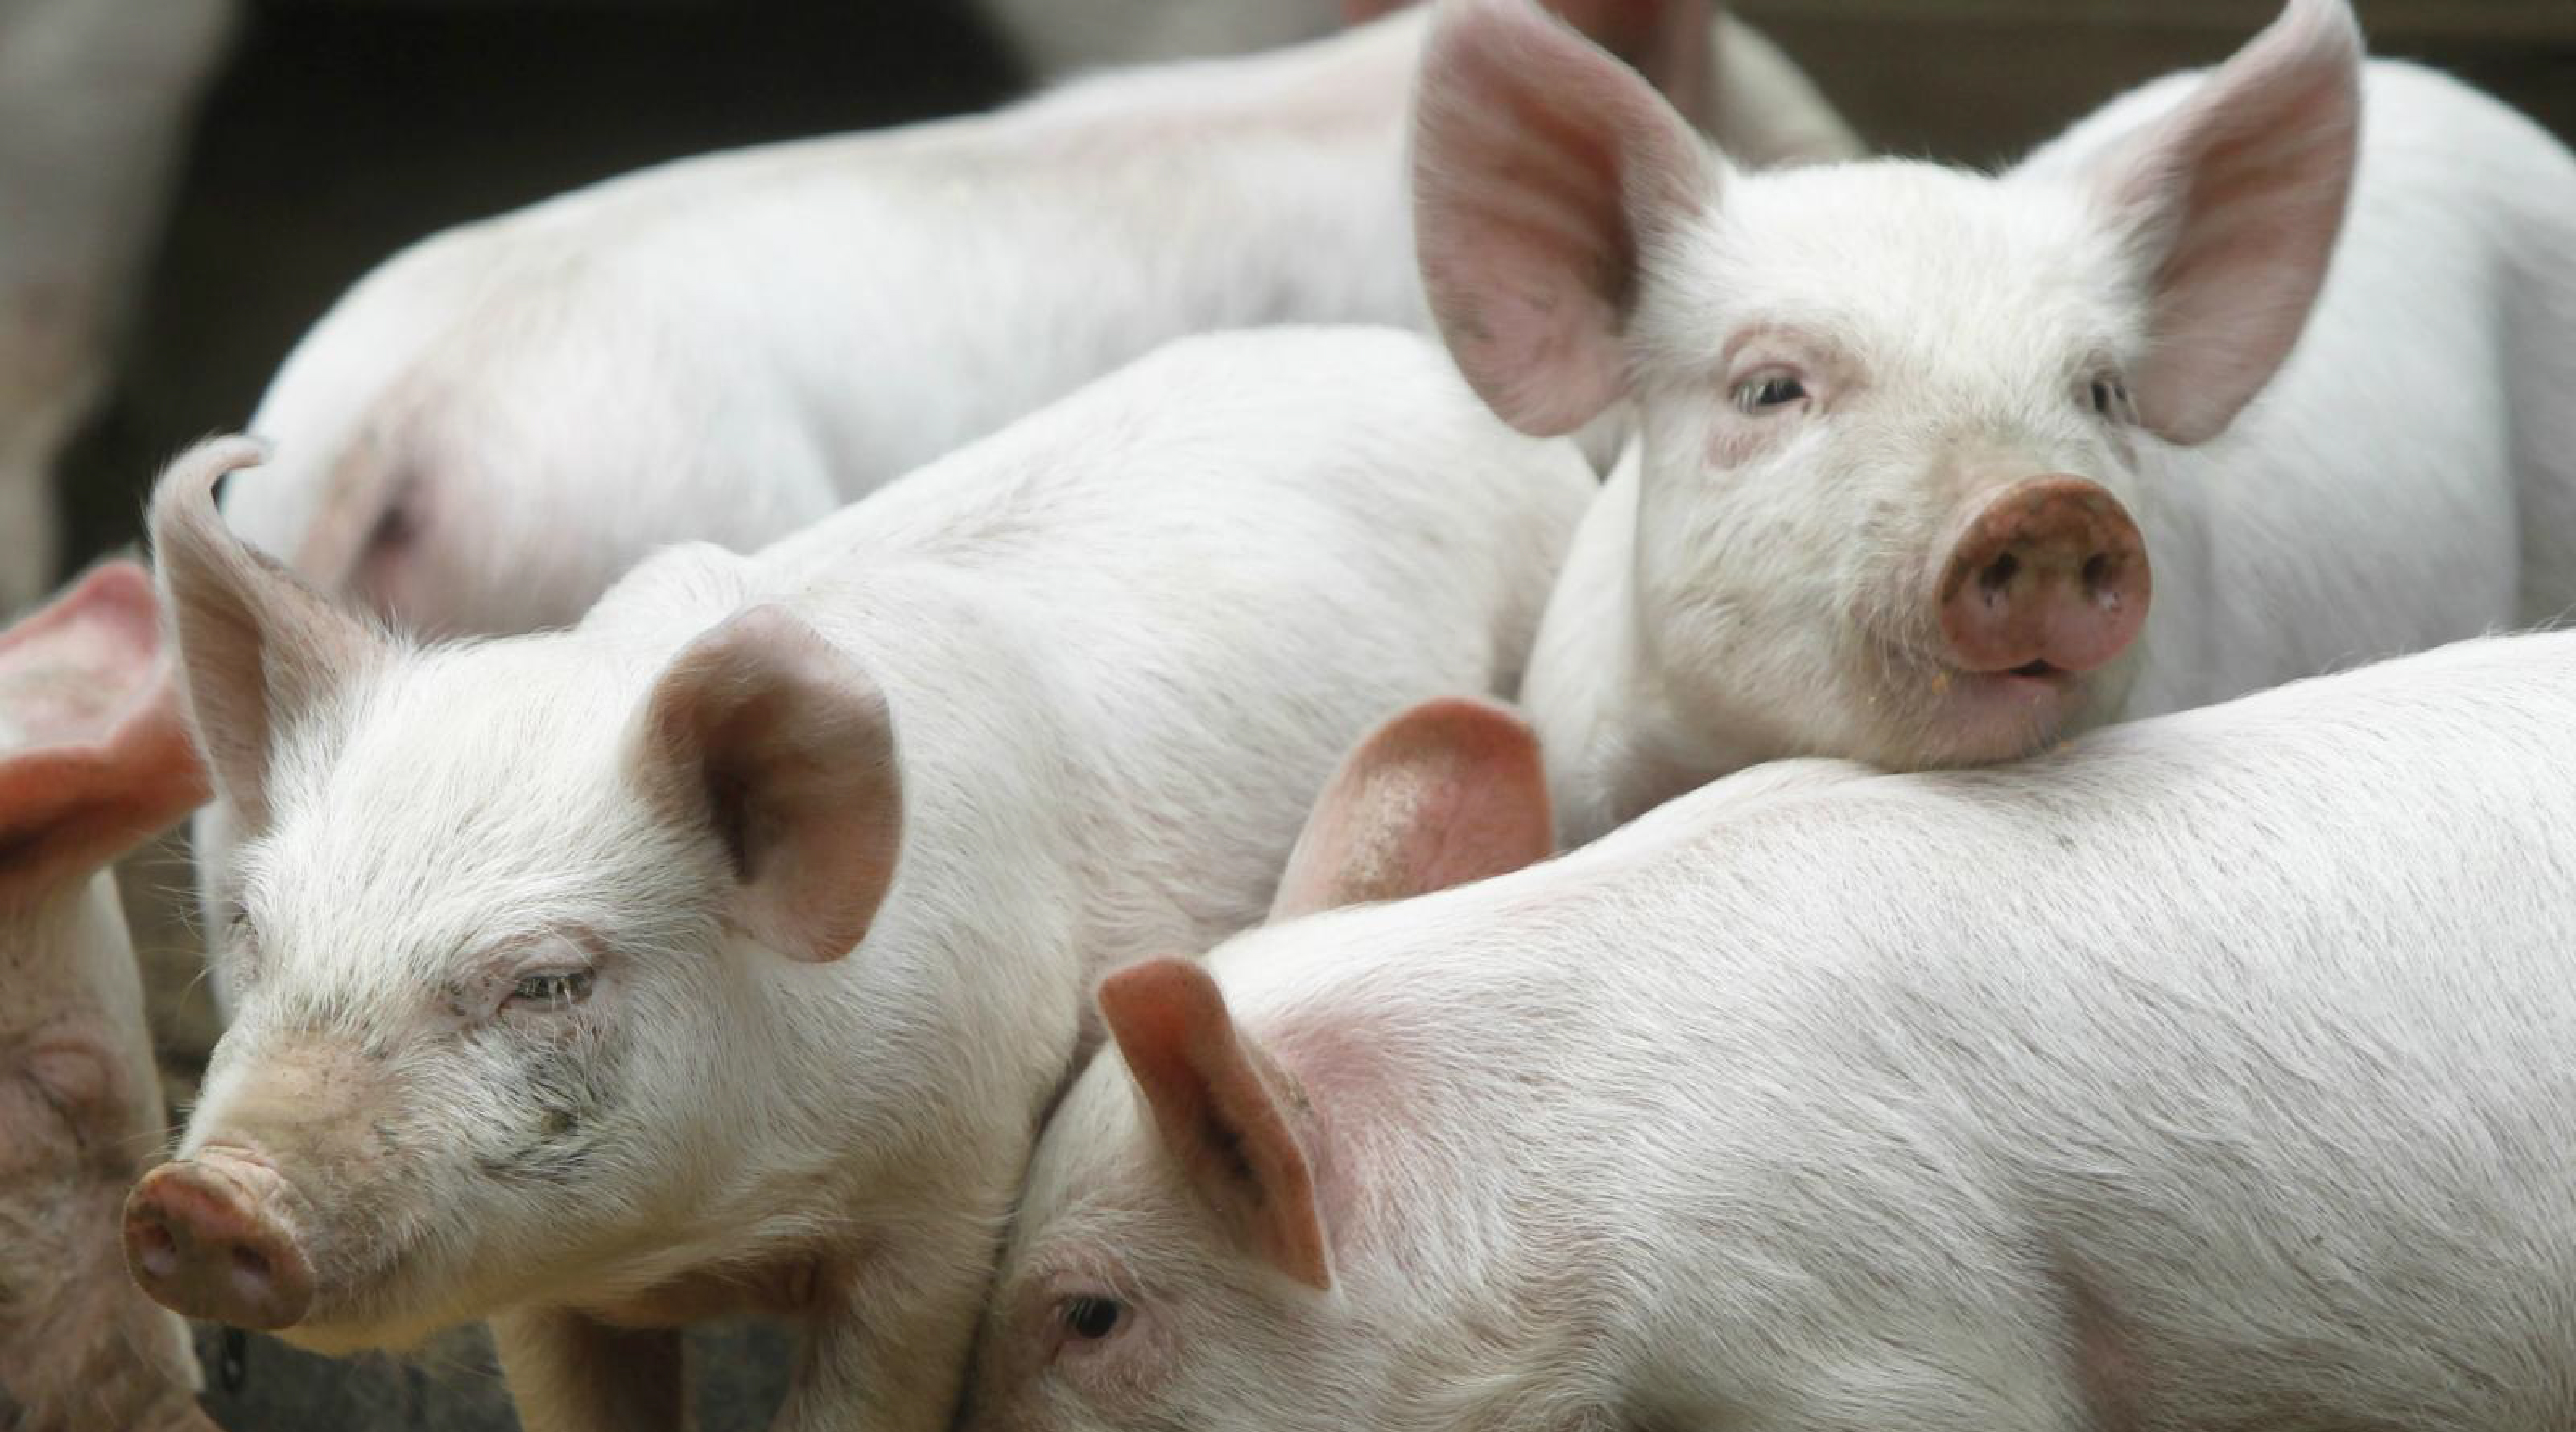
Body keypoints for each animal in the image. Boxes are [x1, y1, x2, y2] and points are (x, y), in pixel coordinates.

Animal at [123, 326, 1594, 1432]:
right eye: (255, 928)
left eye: (547, 980)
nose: (203, 1197)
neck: (706, 1236)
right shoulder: (540, 1280)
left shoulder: (954, 1189)